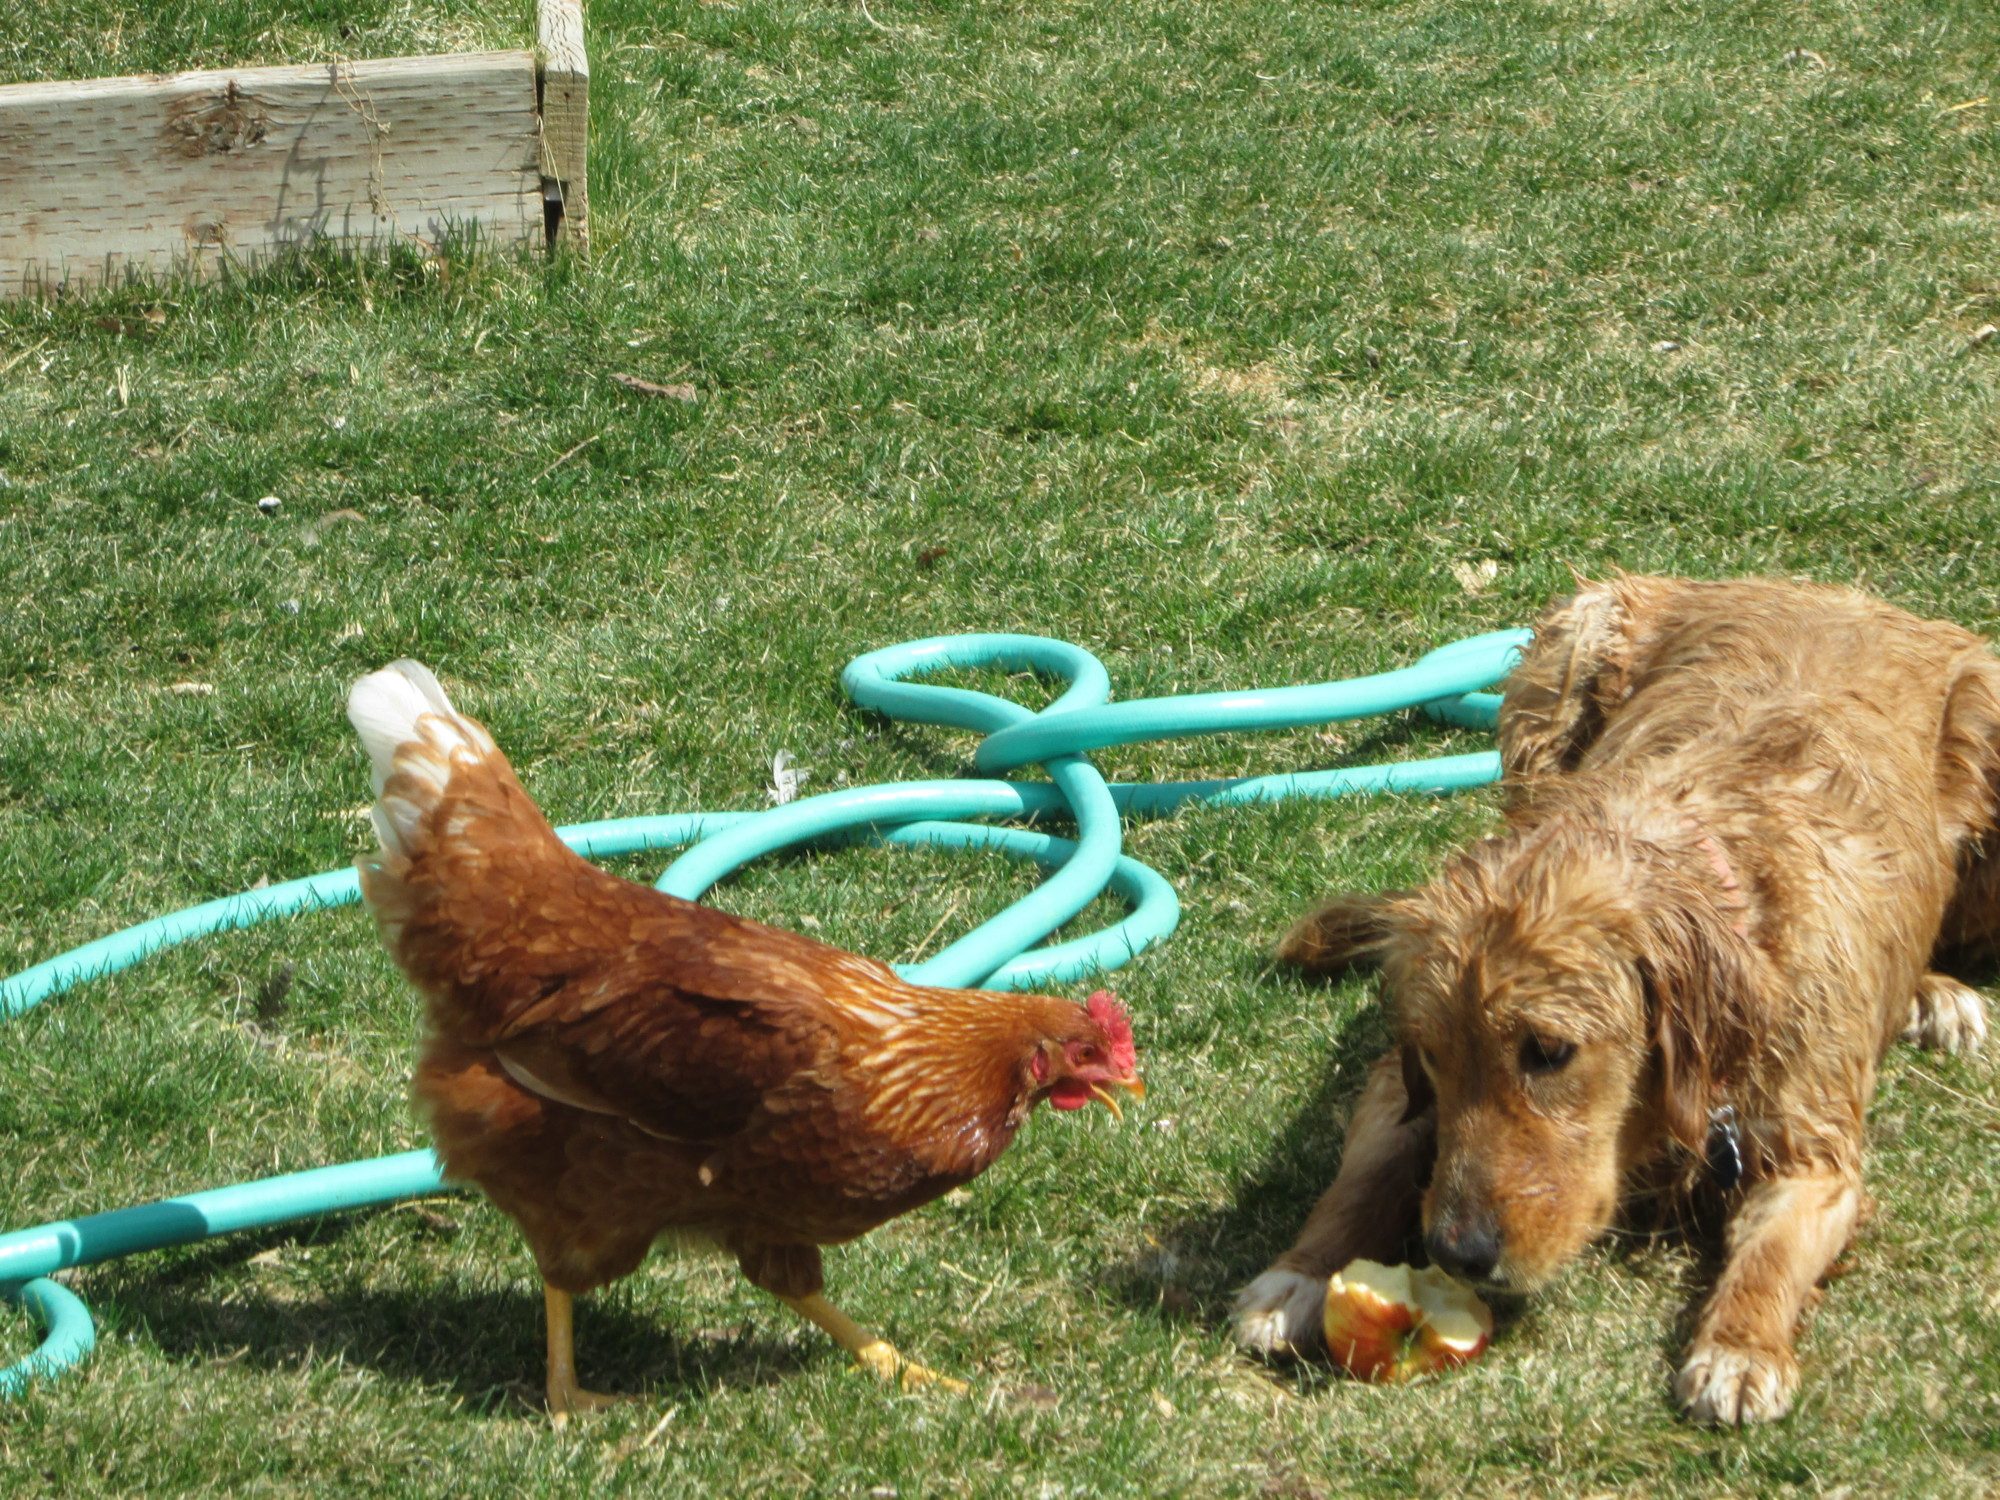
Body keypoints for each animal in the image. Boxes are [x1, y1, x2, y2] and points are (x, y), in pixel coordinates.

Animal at [1233, 575, 1996, 1424]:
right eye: (1432, 1055)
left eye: (1550, 1051)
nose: (1458, 1253)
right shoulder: (1396, 1087)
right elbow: (1368, 1171)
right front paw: (1299, 1273)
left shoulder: (1812, 1146)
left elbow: (1774, 1250)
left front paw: (1739, 1348)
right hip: (1569, 645)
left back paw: (1934, 994)